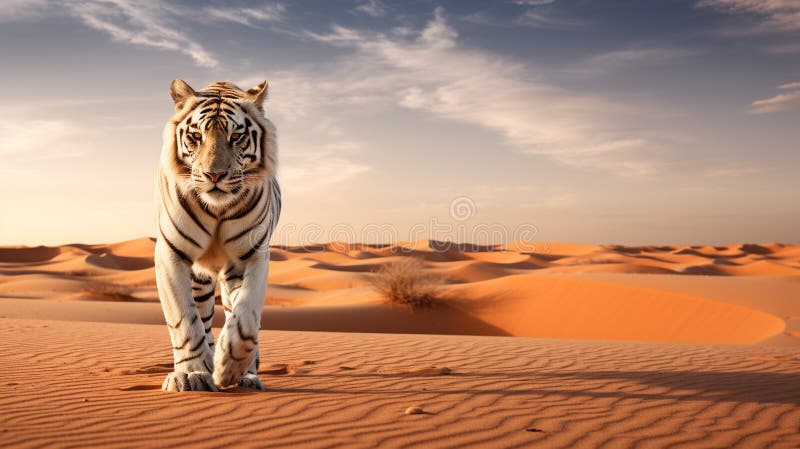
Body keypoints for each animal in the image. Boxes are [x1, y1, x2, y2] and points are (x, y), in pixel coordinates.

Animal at [155, 79, 282, 390]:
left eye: (236, 136)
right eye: (196, 136)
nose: (214, 176)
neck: (217, 210)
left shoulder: (253, 256)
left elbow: (246, 314)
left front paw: (231, 365)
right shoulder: (171, 254)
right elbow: (184, 320)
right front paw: (192, 373)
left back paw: (246, 375)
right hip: (200, 279)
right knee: (201, 316)